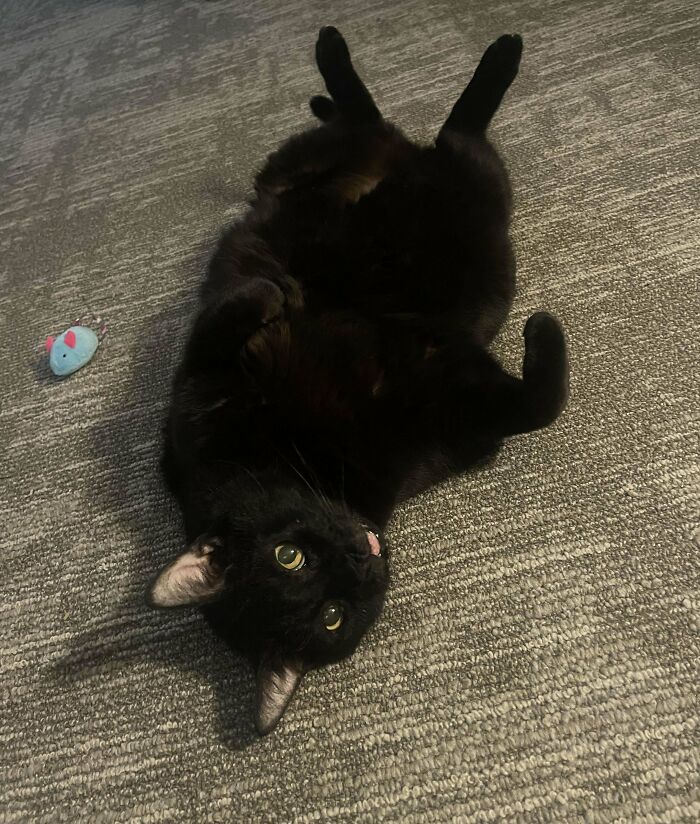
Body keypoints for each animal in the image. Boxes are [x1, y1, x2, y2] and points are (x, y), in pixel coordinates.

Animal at [148, 25, 568, 732]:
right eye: (332, 616)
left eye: (290, 555)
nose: (359, 561)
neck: (315, 464)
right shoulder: (455, 416)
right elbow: (540, 404)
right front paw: (544, 333)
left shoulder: (197, 395)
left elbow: (230, 313)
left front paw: (277, 293)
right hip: (473, 188)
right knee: (455, 131)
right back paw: (495, 53)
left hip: (318, 167)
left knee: (378, 116)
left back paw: (340, 56)